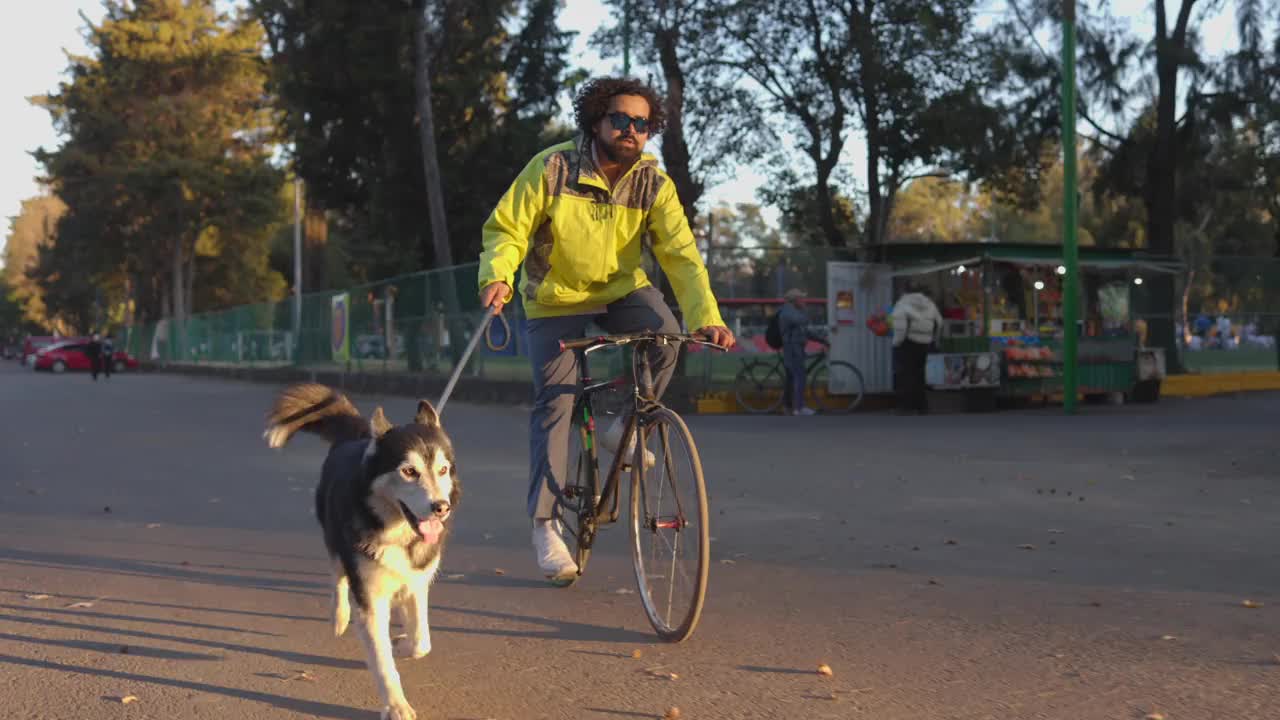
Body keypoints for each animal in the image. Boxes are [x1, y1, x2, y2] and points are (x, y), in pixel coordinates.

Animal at [262, 384, 458, 712]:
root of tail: (359, 436)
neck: (396, 532)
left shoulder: (417, 581)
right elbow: (382, 661)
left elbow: (422, 641)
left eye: (442, 470)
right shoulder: (370, 596)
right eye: (409, 471)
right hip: (334, 536)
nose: (441, 508)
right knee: (337, 574)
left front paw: (402, 643)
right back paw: (339, 615)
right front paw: (396, 706)